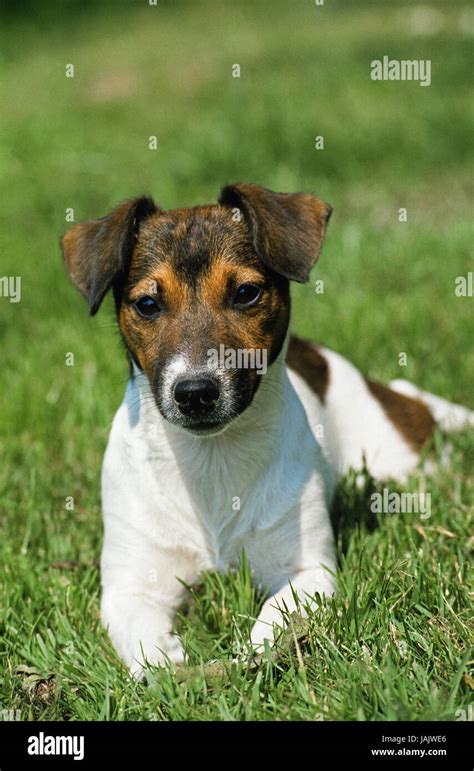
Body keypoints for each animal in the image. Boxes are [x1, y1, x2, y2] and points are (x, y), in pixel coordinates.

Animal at [61, 182, 472, 676]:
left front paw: (250, 658)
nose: (194, 392)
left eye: (245, 293)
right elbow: (144, 643)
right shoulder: (131, 588)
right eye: (147, 304)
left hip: (400, 458)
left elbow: (274, 615)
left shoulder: (307, 572)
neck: (212, 458)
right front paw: (171, 668)